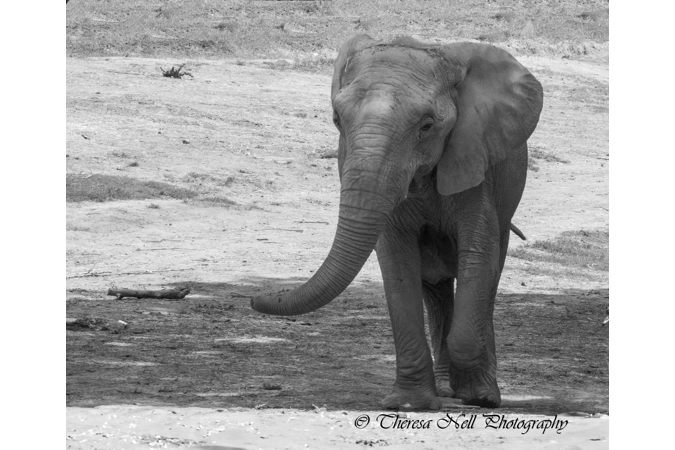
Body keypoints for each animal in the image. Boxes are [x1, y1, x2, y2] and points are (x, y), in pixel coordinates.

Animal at [251, 34, 543, 410]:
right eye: (337, 120)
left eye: (427, 126)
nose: (255, 297)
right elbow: (397, 263)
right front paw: (409, 405)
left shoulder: (475, 163)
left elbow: (478, 255)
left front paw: (478, 398)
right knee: (434, 287)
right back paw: (446, 389)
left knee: (484, 277)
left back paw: (476, 392)